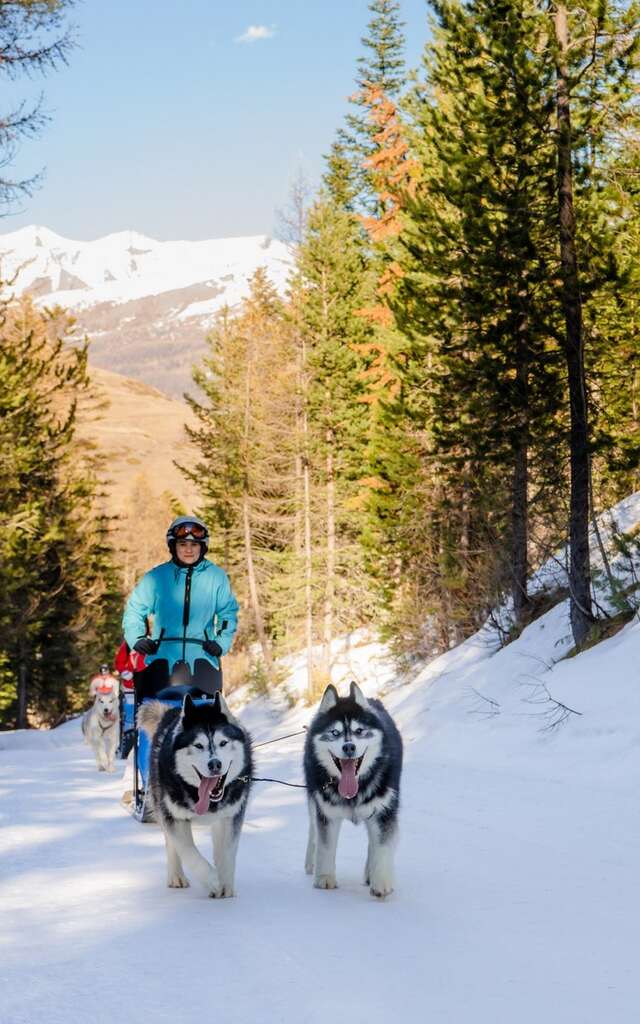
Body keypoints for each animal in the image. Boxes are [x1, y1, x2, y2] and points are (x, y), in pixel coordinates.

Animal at [138, 692, 252, 901]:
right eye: (198, 745)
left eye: (223, 743)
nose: (215, 764)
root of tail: (171, 710)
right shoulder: (174, 817)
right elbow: (188, 851)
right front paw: (212, 880)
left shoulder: (231, 816)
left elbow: (228, 852)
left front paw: (225, 883)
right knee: (171, 845)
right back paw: (176, 876)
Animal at [303, 684, 401, 901]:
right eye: (334, 732)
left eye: (359, 731)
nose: (349, 746)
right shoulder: (327, 813)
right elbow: (325, 845)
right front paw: (324, 877)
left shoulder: (383, 811)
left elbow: (381, 847)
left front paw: (381, 882)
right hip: (314, 800)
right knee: (313, 830)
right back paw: (310, 862)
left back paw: (370, 872)